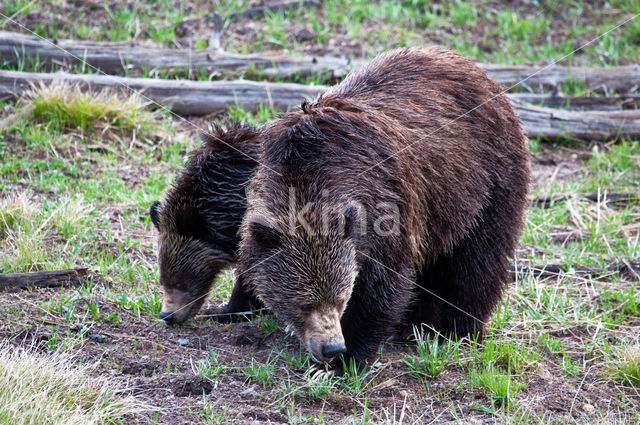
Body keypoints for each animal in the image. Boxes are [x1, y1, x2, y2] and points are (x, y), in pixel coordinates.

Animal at [232, 46, 528, 364]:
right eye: (303, 304)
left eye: (341, 299)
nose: (331, 347)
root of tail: (472, 67)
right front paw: (236, 304)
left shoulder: (385, 206)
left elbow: (382, 285)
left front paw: (351, 355)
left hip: (483, 180)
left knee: (477, 259)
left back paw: (456, 328)